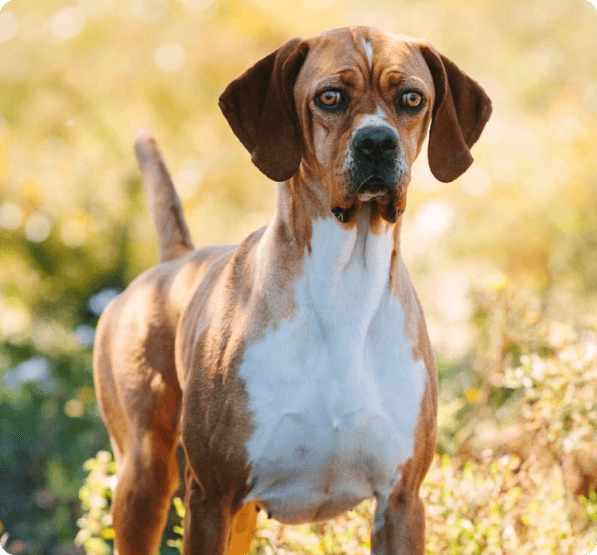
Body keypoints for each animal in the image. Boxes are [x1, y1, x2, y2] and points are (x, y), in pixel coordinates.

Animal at [93, 26, 488, 555]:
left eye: (411, 99)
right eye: (330, 97)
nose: (378, 142)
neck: (345, 286)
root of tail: (173, 261)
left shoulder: (401, 502)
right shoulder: (212, 497)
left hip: (238, 520)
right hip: (146, 481)